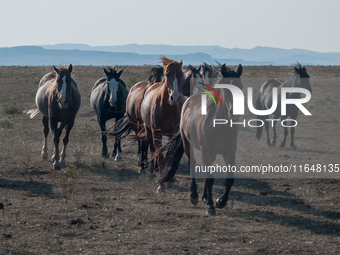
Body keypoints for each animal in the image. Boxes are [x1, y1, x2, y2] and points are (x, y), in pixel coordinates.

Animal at [140, 56, 185, 185]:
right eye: (167, 74)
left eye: (181, 74)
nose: (175, 98)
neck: (168, 109)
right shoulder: (157, 134)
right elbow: (160, 157)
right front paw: (161, 183)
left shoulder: (173, 134)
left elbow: (169, 155)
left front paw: (169, 179)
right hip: (149, 132)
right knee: (152, 150)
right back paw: (150, 172)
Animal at [155, 63, 243, 215]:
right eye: (226, 89)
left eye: (240, 86)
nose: (234, 111)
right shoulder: (205, 151)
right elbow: (210, 179)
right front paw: (211, 206)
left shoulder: (229, 153)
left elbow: (229, 180)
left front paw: (220, 201)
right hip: (188, 145)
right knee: (193, 165)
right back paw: (194, 195)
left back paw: (204, 196)